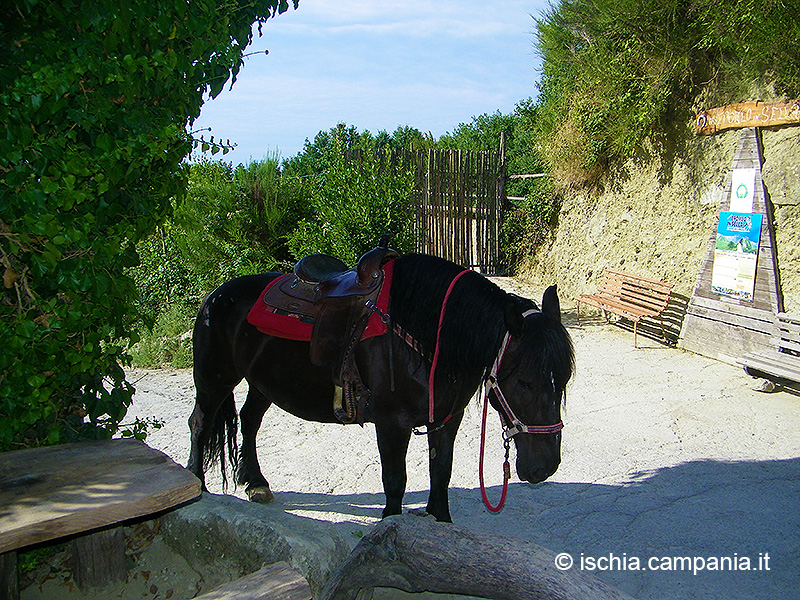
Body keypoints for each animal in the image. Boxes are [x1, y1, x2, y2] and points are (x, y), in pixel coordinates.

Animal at [188, 251, 576, 524]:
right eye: (524, 381)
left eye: (563, 381)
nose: (545, 468)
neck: (428, 335)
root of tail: (215, 295)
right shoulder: (392, 422)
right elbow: (395, 479)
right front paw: (390, 527)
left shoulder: (446, 420)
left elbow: (441, 472)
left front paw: (441, 521)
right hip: (214, 378)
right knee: (200, 423)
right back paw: (196, 485)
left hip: (262, 383)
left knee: (249, 421)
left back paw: (255, 481)